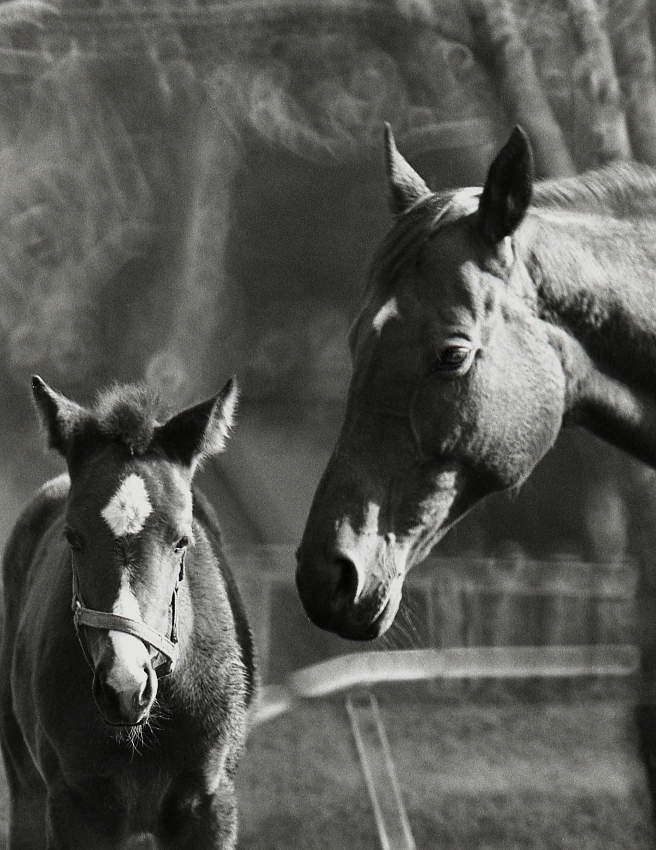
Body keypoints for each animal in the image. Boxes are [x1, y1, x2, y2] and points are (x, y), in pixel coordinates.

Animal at [0, 378, 256, 848]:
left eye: (181, 540)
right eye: (73, 537)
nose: (124, 686)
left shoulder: (210, 807)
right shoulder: (74, 809)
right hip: (26, 784)